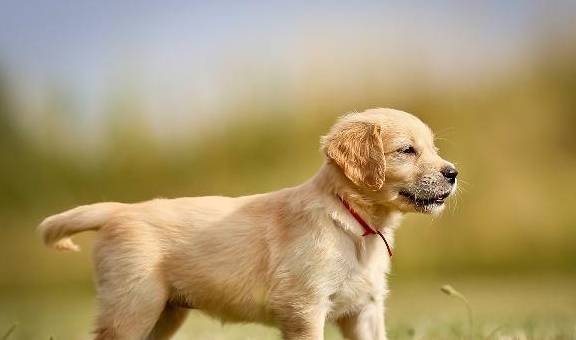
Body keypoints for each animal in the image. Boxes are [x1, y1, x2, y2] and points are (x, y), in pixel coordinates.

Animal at [38, 109, 456, 340]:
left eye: (433, 149)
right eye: (406, 150)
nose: (453, 173)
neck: (353, 222)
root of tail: (117, 211)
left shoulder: (364, 311)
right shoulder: (304, 308)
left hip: (164, 312)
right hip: (132, 305)